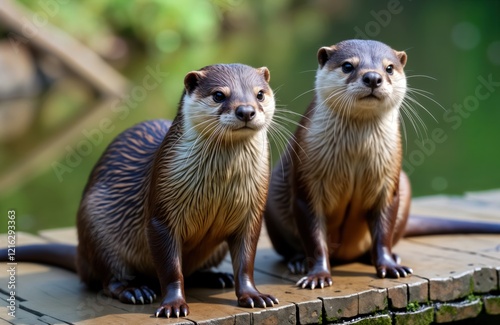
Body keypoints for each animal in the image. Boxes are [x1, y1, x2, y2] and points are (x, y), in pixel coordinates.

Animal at [4, 63, 278, 316]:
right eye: (219, 95)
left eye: (260, 94)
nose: (246, 110)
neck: (220, 187)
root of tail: (82, 255)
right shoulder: (161, 215)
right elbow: (170, 269)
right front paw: (173, 304)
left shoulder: (252, 214)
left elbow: (245, 263)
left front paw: (254, 296)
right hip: (96, 225)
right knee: (107, 279)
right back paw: (134, 289)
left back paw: (215, 277)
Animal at [264, 39, 498, 290]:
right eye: (348, 66)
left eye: (389, 68)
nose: (373, 77)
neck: (356, 154)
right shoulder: (307, 187)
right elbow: (314, 238)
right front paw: (317, 275)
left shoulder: (388, 185)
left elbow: (384, 230)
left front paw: (390, 265)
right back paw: (297, 261)